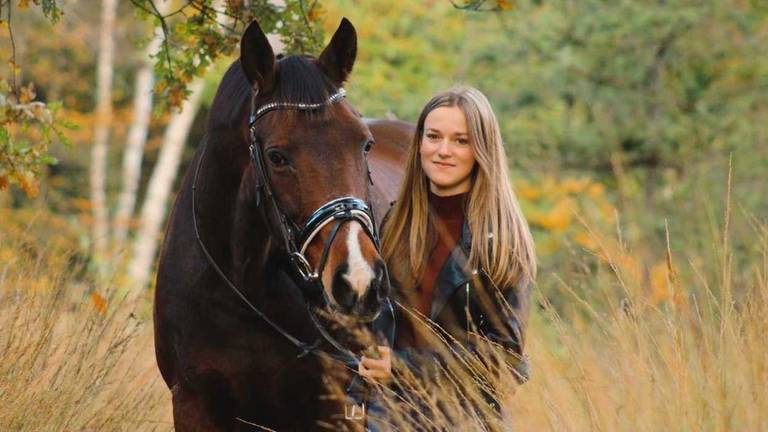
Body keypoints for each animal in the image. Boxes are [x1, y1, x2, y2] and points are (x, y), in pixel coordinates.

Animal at [154, 18, 414, 430]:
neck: (244, 292)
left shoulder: (337, 408)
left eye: (365, 144)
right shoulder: (193, 403)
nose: (358, 282)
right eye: (276, 156)